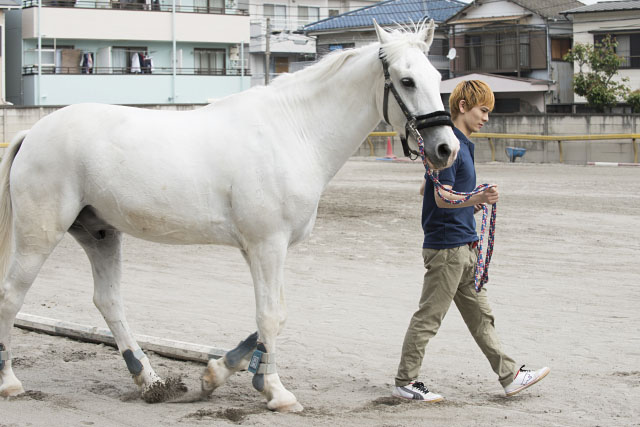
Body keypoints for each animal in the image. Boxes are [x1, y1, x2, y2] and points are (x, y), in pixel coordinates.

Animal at [1, 21, 460, 412]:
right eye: (406, 81)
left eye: (435, 78)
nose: (446, 149)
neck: (292, 131)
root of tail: (33, 133)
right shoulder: (267, 245)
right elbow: (271, 316)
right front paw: (275, 392)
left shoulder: (263, 249)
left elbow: (274, 314)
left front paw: (216, 374)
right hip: (40, 234)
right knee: (11, 296)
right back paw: (11, 383)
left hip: (99, 233)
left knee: (109, 301)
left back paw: (151, 381)